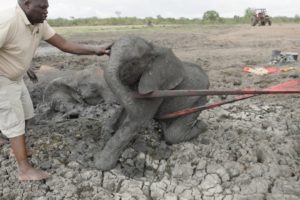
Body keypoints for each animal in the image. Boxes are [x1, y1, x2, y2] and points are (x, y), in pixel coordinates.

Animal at [95, 35, 210, 170]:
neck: (152, 48)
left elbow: (138, 119)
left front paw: (100, 164)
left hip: (198, 99)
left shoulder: (156, 87)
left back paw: (202, 125)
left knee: (174, 135)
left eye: (133, 62)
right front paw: (107, 133)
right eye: (109, 53)